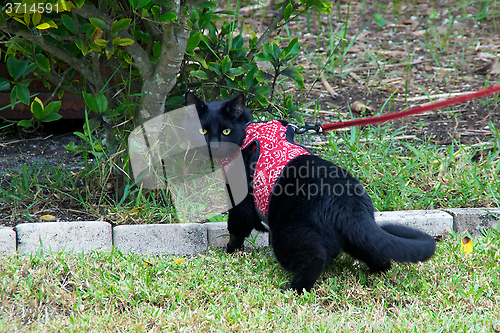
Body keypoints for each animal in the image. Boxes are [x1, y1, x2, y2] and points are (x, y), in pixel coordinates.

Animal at [186, 91, 436, 294]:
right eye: (202, 130)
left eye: (226, 131)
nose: (213, 146)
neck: (247, 134)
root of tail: (349, 204)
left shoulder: (241, 204)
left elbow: (236, 229)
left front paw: (228, 251)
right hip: (356, 238)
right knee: (380, 255)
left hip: (289, 231)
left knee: (315, 257)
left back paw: (292, 289)